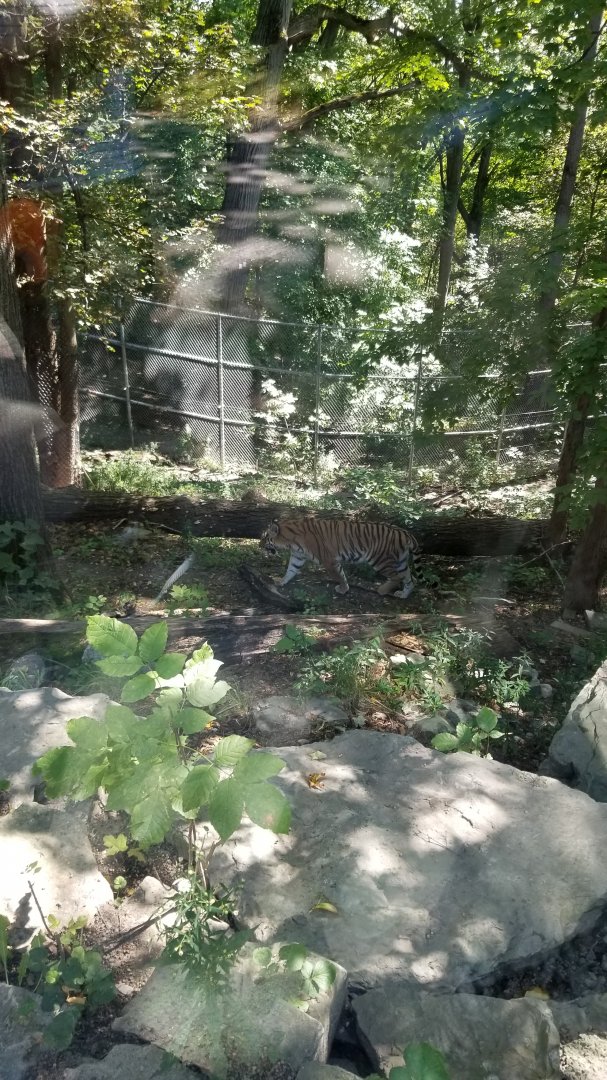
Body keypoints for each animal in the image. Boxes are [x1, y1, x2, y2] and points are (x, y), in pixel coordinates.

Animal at [260, 517, 421, 599]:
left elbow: (339, 576)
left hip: (380, 560)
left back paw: (382, 590)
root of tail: (405, 532)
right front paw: (280, 582)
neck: (291, 541)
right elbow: (290, 571)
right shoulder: (298, 557)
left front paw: (343, 589)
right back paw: (403, 594)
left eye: (265, 537)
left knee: (397, 577)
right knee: (410, 578)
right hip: (401, 562)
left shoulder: (329, 560)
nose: (259, 545)